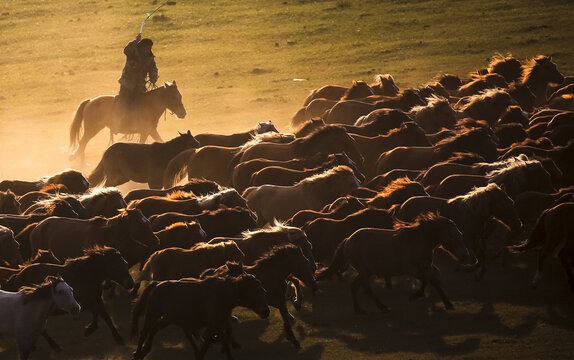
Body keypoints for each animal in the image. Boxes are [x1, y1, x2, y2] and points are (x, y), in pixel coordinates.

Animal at [318, 214, 470, 312]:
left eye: (461, 235)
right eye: (451, 236)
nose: (465, 255)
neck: (418, 241)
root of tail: (348, 240)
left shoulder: (425, 268)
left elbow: (433, 282)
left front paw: (448, 304)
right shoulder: (410, 269)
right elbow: (426, 280)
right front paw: (415, 296)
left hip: (366, 272)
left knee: (357, 287)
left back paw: (368, 308)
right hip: (364, 271)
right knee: (361, 288)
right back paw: (375, 308)